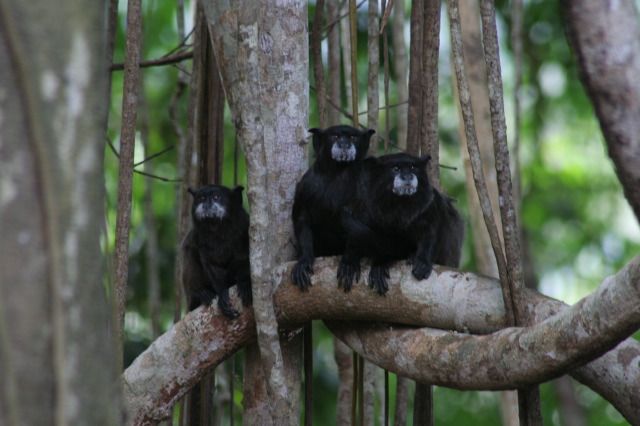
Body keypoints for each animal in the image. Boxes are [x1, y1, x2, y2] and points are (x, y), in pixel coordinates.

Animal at [181, 185, 251, 318]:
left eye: (216, 197)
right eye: (202, 198)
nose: (207, 203)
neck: (217, 230)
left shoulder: (243, 228)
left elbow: (243, 257)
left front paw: (245, 283)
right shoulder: (198, 238)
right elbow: (210, 265)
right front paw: (222, 294)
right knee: (189, 252)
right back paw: (199, 293)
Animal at [292, 123, 376, 290]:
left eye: (352, 137)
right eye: (335, 136)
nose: (344, 144)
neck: (338, 171)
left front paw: (349, 262)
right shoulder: (307, 185)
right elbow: (302, 218)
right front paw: (304, 260)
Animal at [338, 153, 462, 296]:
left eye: (413, 167)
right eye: (395, 169)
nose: (407, 176)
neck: (400, 204)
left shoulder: (428, 204)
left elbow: (430, 232)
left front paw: (423, 262)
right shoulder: (367, 206)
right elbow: (358, 233)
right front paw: (351, 261)